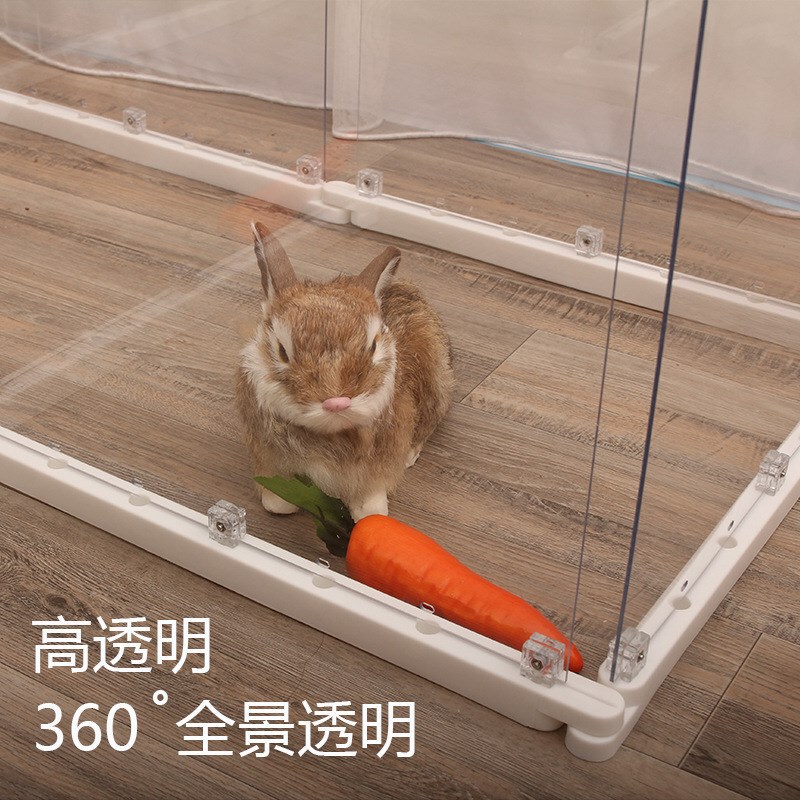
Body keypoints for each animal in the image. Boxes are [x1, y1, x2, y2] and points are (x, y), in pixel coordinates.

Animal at [235, 222, 454, 522]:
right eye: (282, 351)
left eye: (373, 346)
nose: (336, 402)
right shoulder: (268, 458)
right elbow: (275, 497)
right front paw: (279, 504)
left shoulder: (374, 471)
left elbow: (370, 500)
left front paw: (370, 513)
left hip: (436, 388)